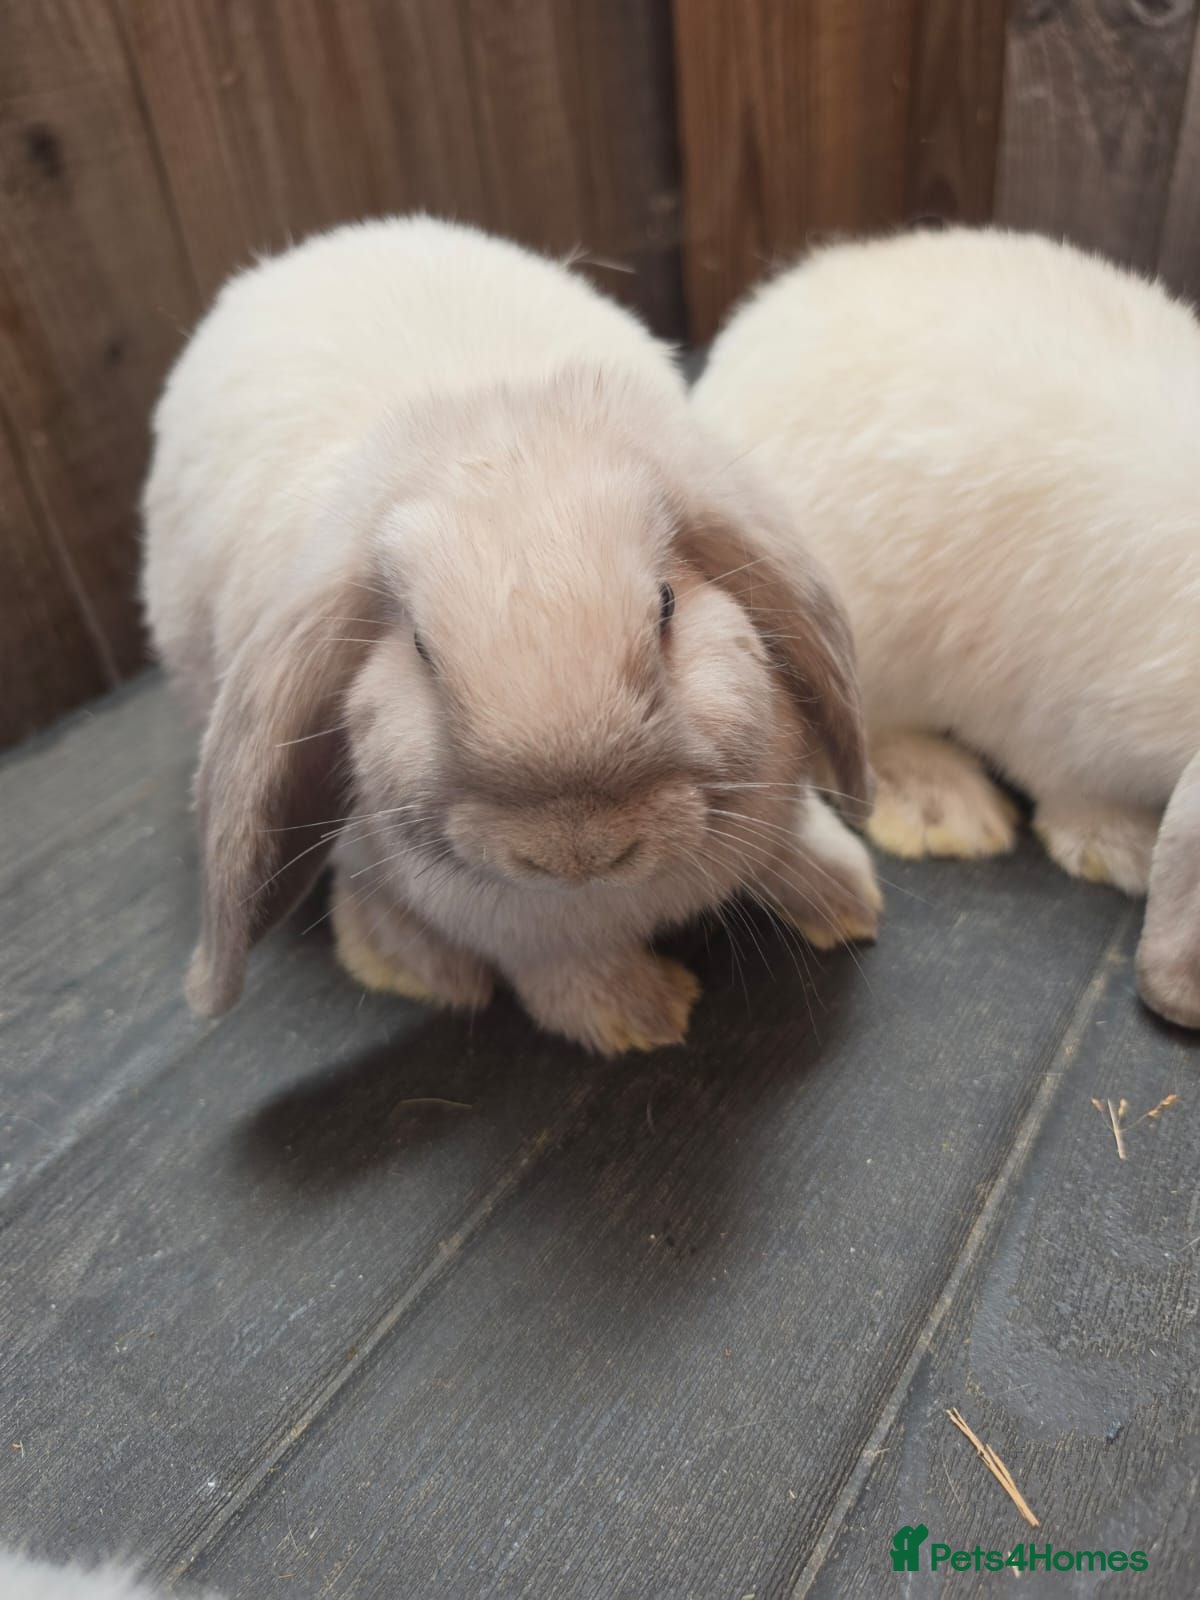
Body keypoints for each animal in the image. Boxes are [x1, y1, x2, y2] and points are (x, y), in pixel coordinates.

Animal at [142, 216, 880, 1055]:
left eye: (665, 607)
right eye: (421, 651)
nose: (578, 851)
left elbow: (795, 841)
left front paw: (848, 900)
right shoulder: (529, 939)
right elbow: (565, 976)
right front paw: (642, 1019)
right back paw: (429, 970)